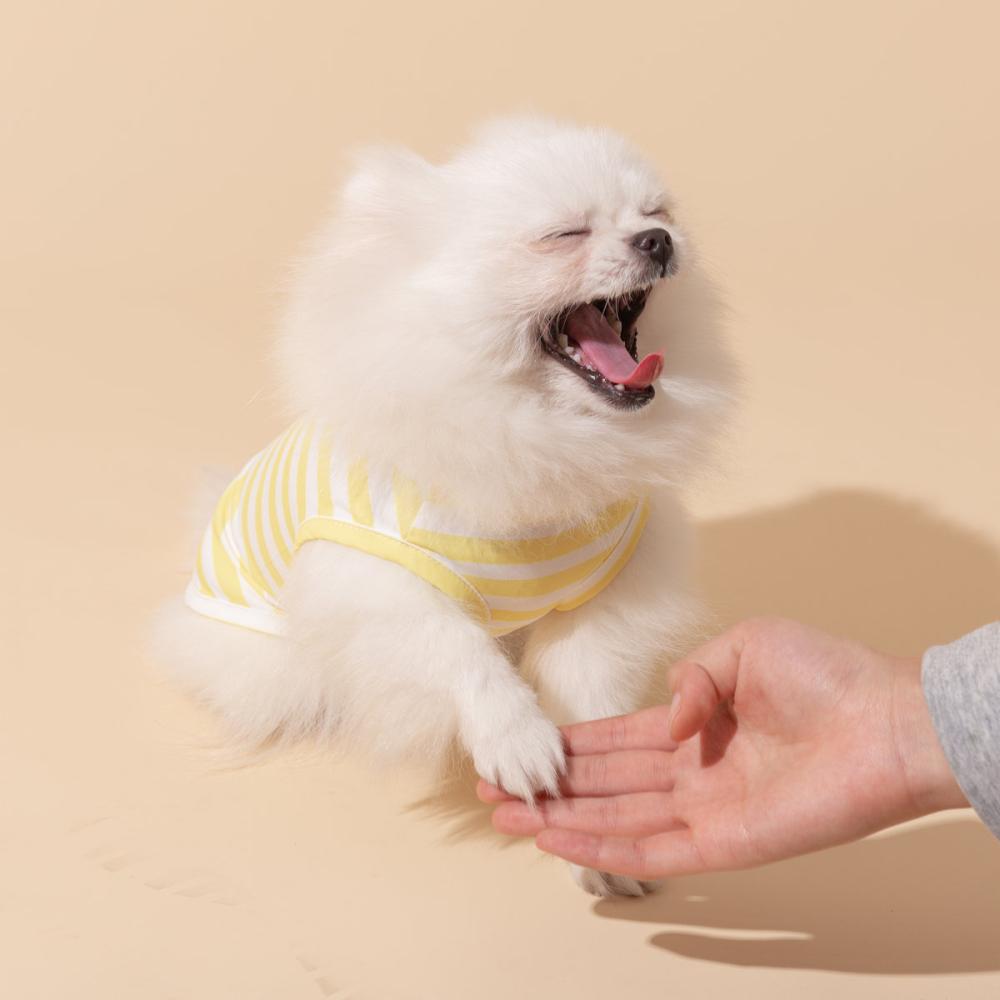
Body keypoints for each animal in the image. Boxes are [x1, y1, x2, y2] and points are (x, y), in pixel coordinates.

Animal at [153, 116, 735, 897]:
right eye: (565, 234)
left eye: (658, 213)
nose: (658, 241)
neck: (537, 431)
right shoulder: (374, 578)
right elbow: (456, 651)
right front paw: (517, 739)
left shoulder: (609, 585)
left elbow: (587, 675)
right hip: (271, 665)